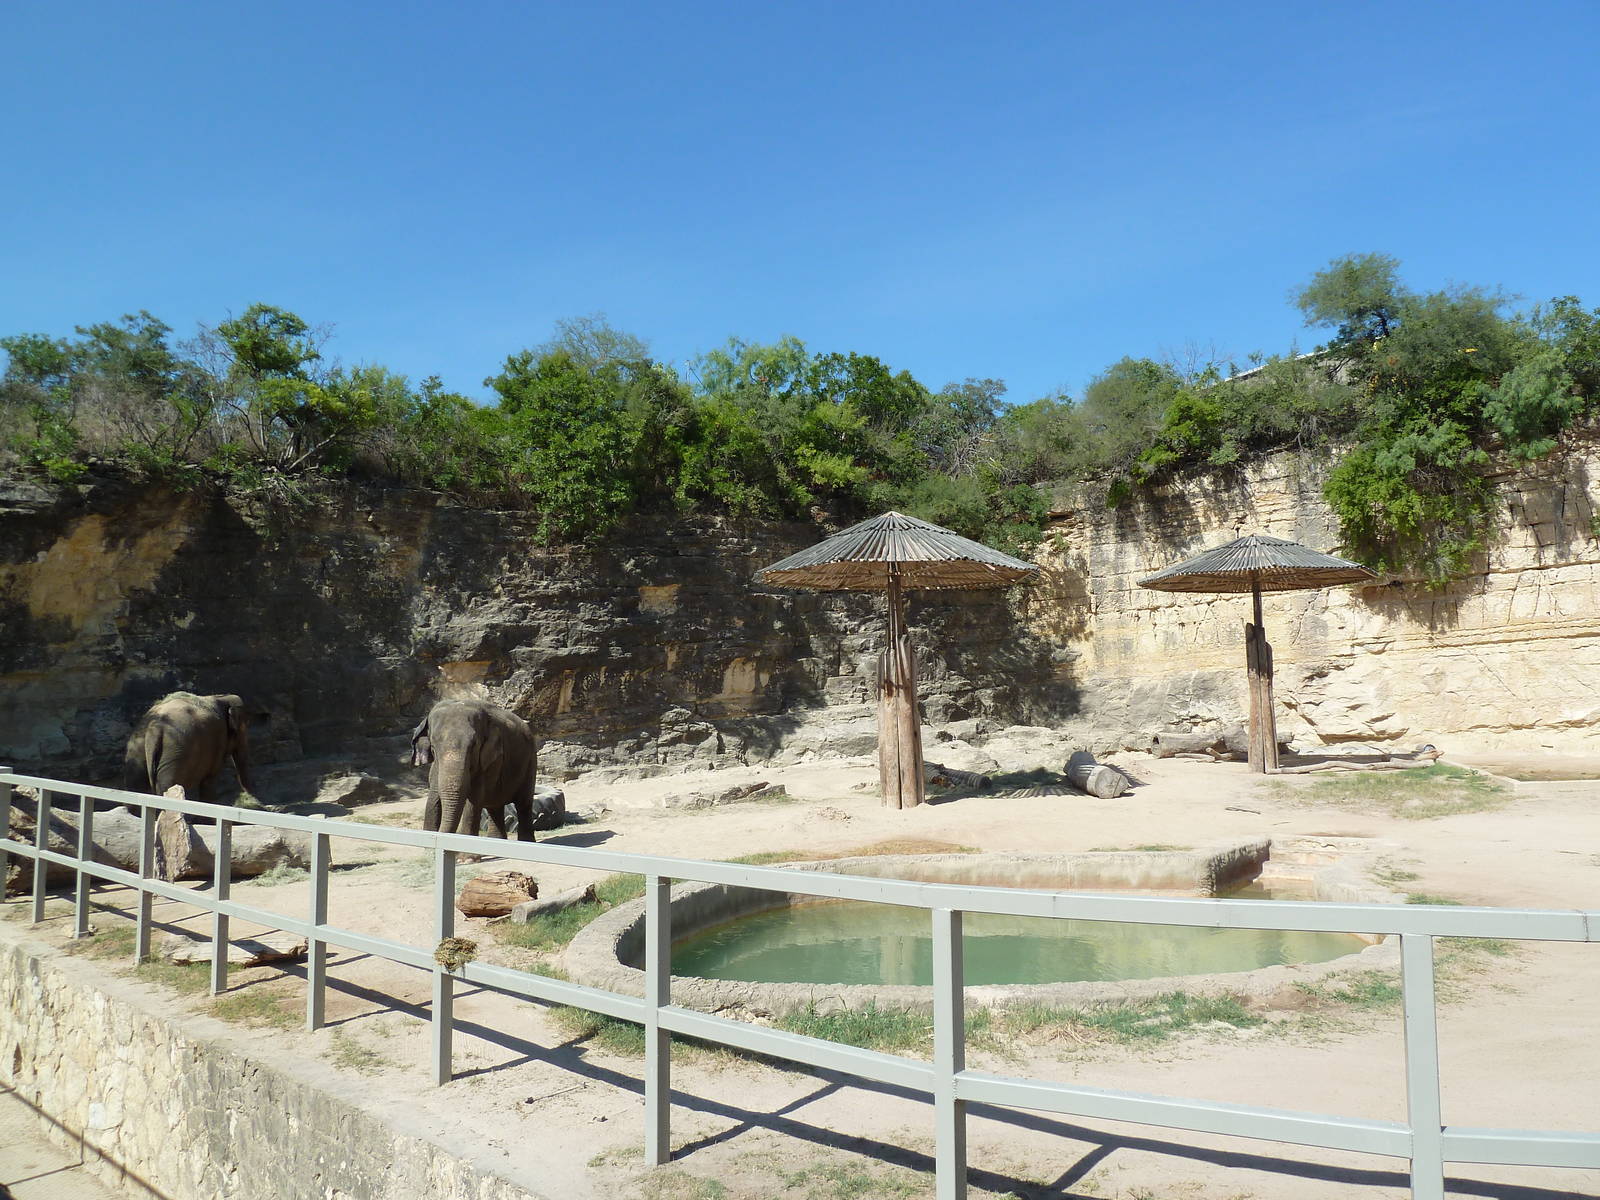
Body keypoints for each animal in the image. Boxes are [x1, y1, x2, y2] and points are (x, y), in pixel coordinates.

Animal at [123, 692, 254, 802]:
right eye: (245, 726)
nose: (247, 797)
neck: (220, 697)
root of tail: (155, 727)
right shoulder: (219, 740)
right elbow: (209, 783)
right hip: (174, 755)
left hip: (137, 750)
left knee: (135, 787)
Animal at [410, 699, 557, 840]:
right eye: (433, 748)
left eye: (474, 746)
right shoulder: (437, 766)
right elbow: (433, 797)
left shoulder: (493, 759)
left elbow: (474, 798)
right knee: (495, 806)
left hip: (530, 760)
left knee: (523, 803)